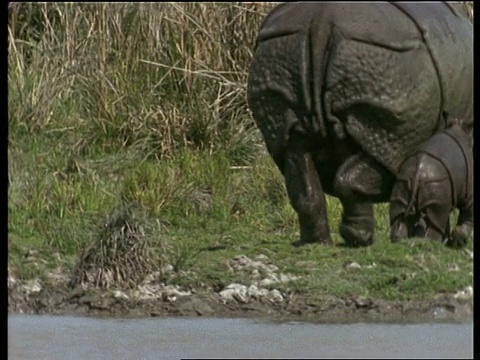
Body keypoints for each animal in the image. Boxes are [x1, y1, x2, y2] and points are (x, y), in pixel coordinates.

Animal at [248, 1, 472, 246]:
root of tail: (321, 22)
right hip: (388, 69)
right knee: (380, 151)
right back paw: (361, 240)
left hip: (280, 54)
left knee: (296, 153)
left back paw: (318, 243)